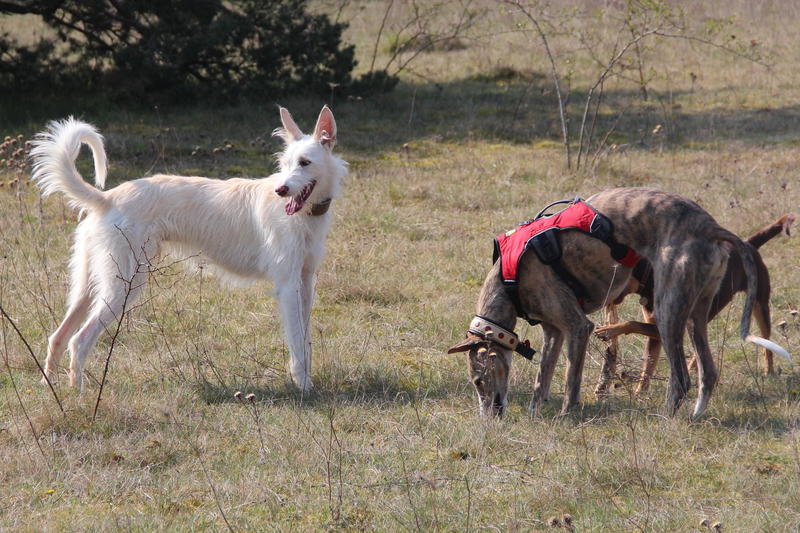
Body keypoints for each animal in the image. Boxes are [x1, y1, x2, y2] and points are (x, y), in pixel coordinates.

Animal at [30, 106, 346, 388]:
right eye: (285, 164)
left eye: (305, 163)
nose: (281, 190)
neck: (305, 215)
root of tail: (107, 198)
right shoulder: (288, 287)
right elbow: (297, 344)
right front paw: (303, 387)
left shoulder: (305, 283)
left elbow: (305, 340)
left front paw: (307, 381)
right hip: (123, 286)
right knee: (79, 340)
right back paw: (79, 394)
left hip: (90, 284)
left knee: (58, 337)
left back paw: (52, 387)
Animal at [446, 187, 792, 416]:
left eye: (478, 381)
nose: (490, 420)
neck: (510, 278)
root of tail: (712, 227)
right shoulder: (553, 331)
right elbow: (541, 380)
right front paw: (534, 413)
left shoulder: (578, 327)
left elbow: (571, 380)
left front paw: (565, 415)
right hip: (696, 315)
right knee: (707, 373)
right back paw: (695, 415)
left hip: (667, 311)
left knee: (681, 378)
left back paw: (667, 419)